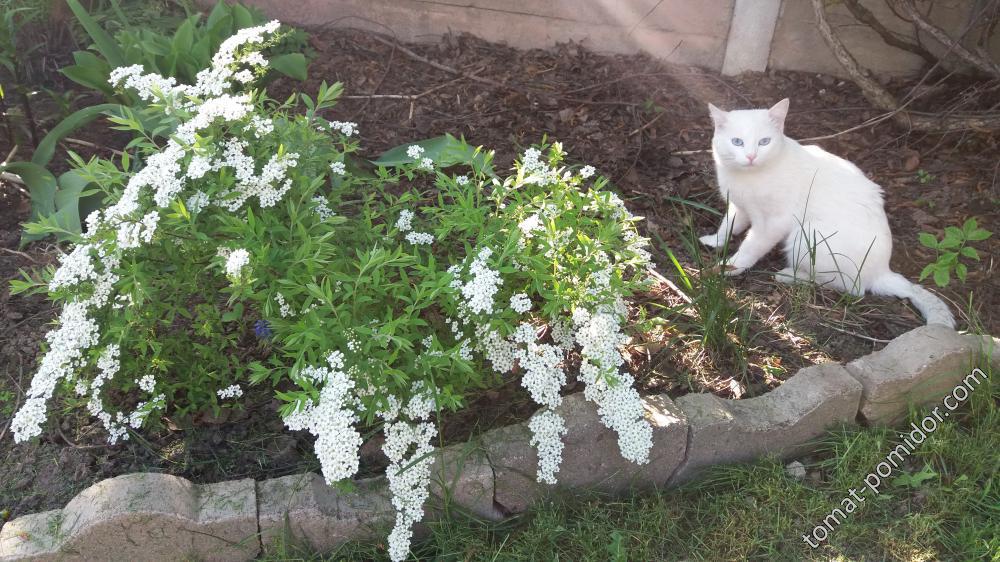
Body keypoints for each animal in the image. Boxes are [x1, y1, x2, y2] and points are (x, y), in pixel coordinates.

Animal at [699, 98, 955, 328]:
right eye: (737, 142)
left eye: (764, 141)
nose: (751, 156)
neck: (748, 177)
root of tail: (883, 270)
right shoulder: (739, 206)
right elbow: (729, 225)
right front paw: (715, 241)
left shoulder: (773, 223)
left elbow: (750, 248)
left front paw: (730, 267)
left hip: (805, 236)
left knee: (851, 287)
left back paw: (791, 276)